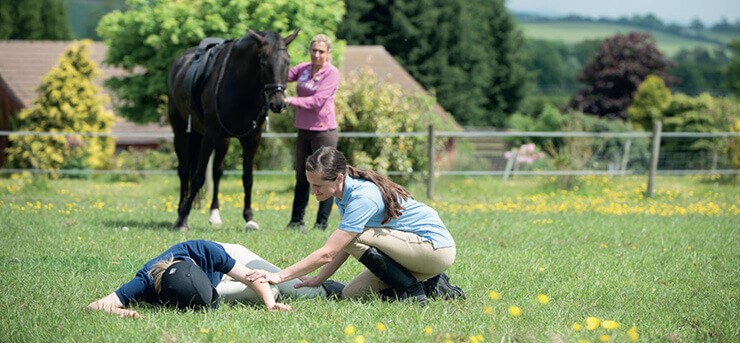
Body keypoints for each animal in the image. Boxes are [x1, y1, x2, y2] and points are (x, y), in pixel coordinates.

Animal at [168, 28, 300, 232]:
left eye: (287, 61)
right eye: (263, 62)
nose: (278, 103)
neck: (240, 88)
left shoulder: (252, 138)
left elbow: (248, 178)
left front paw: (249, 218)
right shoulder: (210, 135)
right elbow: (197, 177)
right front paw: (182, 219)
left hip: (222, 140)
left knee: (217, 172)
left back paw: (214, 214)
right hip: (181, 131)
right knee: (184, 171)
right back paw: (181, 210)